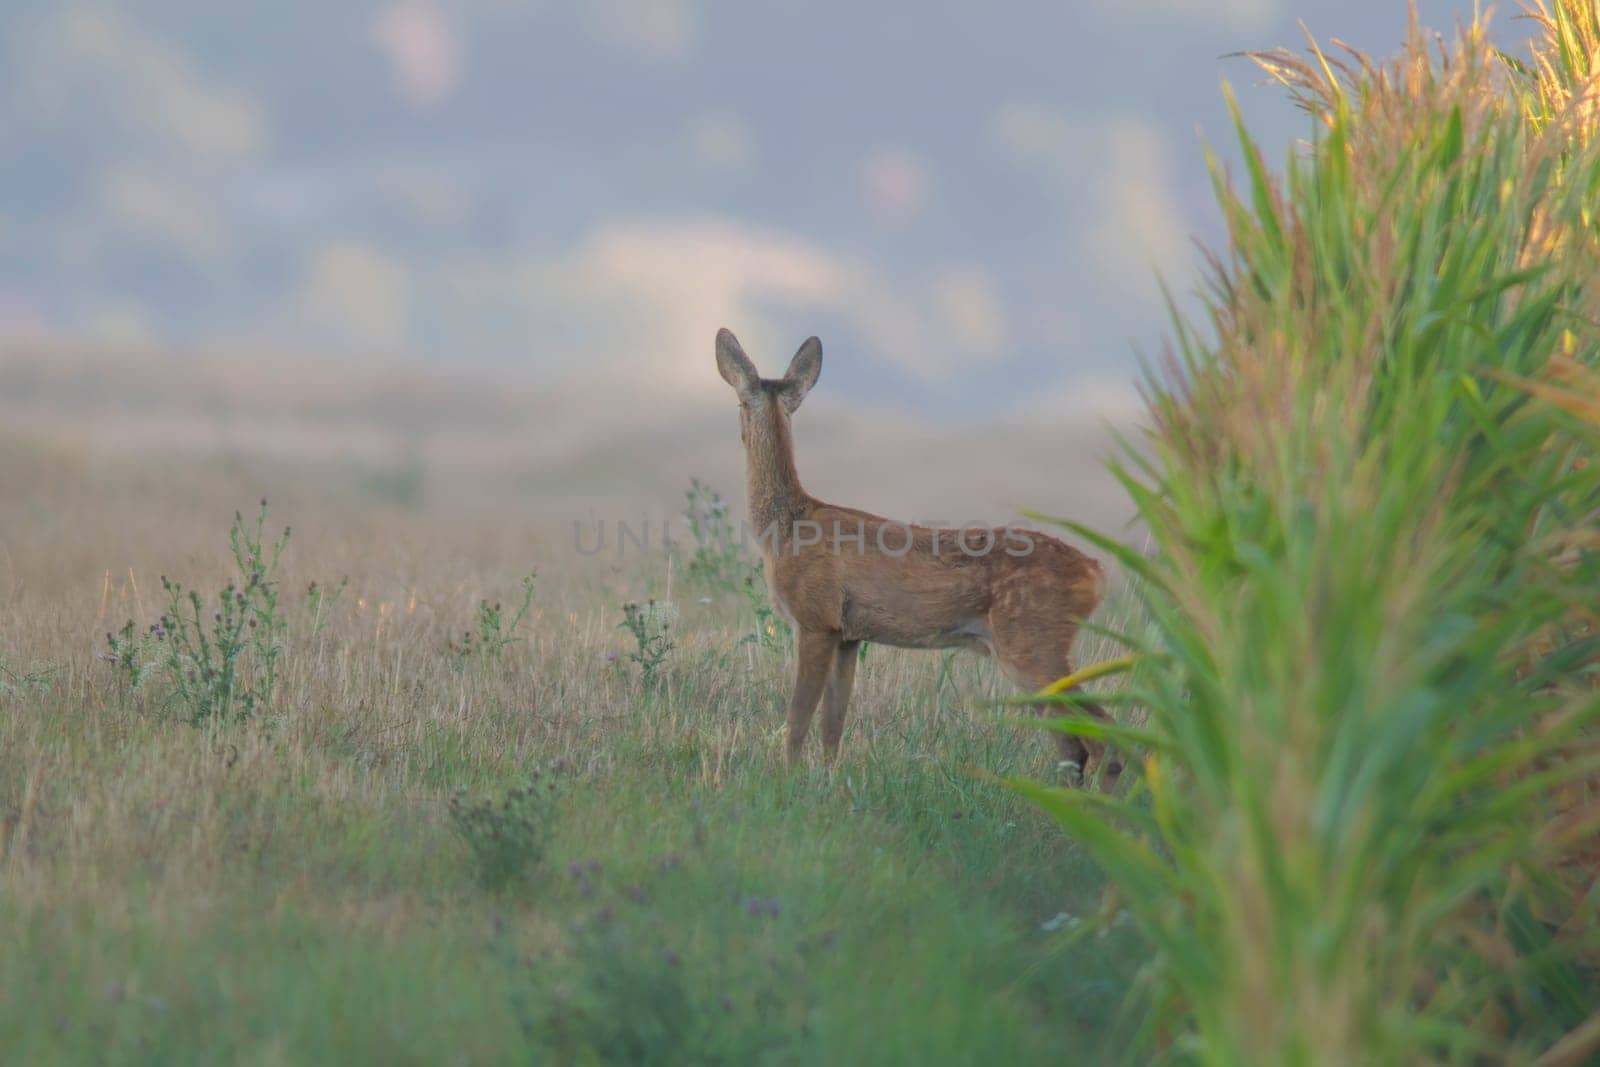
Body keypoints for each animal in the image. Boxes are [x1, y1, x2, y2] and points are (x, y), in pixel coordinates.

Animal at [720, 326, 1120, 783]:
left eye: (739, 402)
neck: (787, 526)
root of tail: (1096, 573)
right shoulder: (848, 635)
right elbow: (832, 727)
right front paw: (829, 781)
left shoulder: (815, 618)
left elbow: (798, 719)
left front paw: (786, 781)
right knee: (1072, 744)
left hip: (1033, 643)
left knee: (1103, 738)